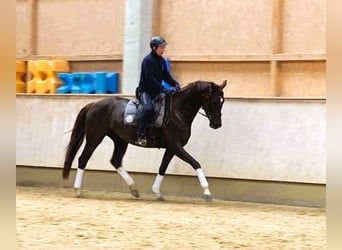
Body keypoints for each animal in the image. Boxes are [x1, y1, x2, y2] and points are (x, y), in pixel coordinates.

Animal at [62, 80, 227, 201]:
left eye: (222, 101)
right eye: (214, 101)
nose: (217, 124)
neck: (177, 111)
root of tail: (93, 104)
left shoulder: (171, 148)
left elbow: (162, 167)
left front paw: (157, 192)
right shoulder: (176, 146)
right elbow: (195, 163)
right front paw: (207, 192)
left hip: (120, 141)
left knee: (115, 160)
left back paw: (134, 189)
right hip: (95, 137)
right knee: (83, 159)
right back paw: (78, 190)